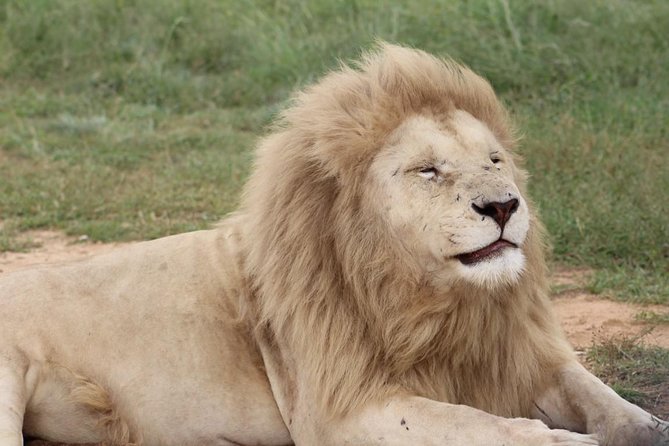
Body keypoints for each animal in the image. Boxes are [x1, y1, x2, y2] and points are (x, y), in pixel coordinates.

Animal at [0, 44, 667, 446]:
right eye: (429, 170)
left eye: (495, 160)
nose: (504, 206)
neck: (434, 304)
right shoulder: (340, 411)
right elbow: (486, 426)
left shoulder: (518, 355)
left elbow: (609, 402)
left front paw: (647, 426)